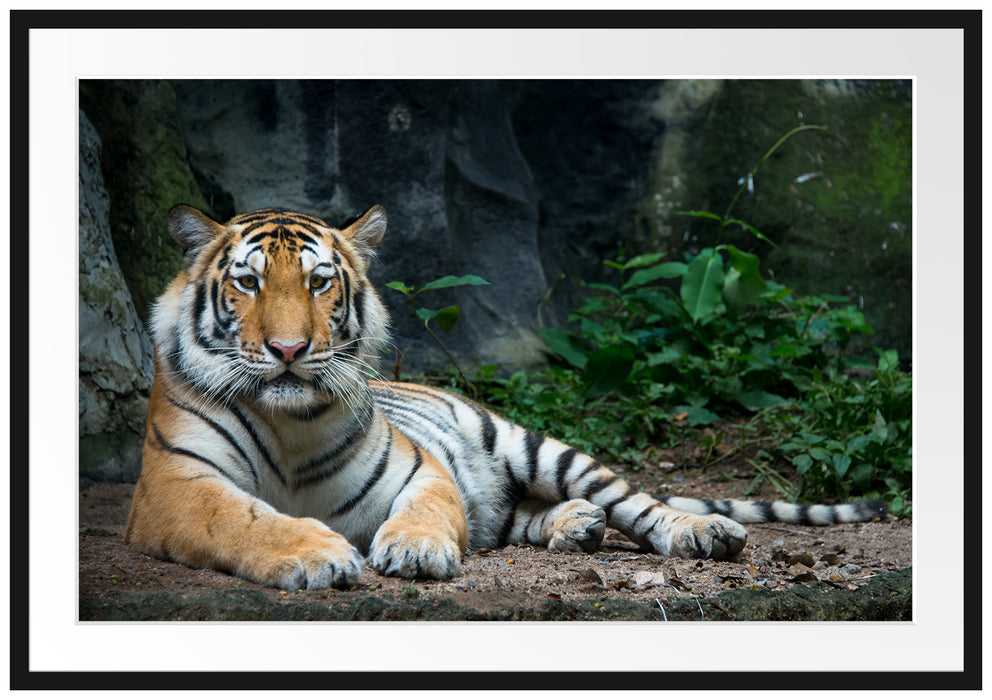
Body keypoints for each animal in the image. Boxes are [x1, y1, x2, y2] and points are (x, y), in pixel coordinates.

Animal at [124, 204, 888, 590]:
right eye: (248, 283)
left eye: (317, 282)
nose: (288, 350)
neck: (290, 423)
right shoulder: (176, 486)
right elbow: (243, 519)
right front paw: (317, 554)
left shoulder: (419, 468)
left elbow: (430, 509)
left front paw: (414, 552)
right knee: (509, 514)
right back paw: (576, 526)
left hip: (535, 446)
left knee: (637, 502)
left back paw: (699, 531)